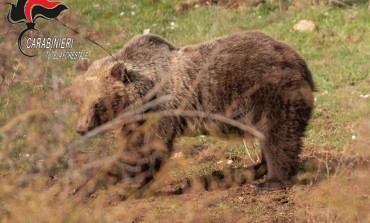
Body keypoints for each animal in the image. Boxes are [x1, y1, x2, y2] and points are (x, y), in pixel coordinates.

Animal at [71, 30, 316, 193]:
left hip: (272, 92)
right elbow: (131, 150)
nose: (81, 128)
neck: (142, 98)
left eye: (98, 103)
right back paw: (251, 169)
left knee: (278, 136)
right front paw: (86, 185)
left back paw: (272, 181)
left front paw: (127, 184)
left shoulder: (162, 111)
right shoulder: (135, 121)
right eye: (78, 101)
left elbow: (148, 150)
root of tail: (298, 59)